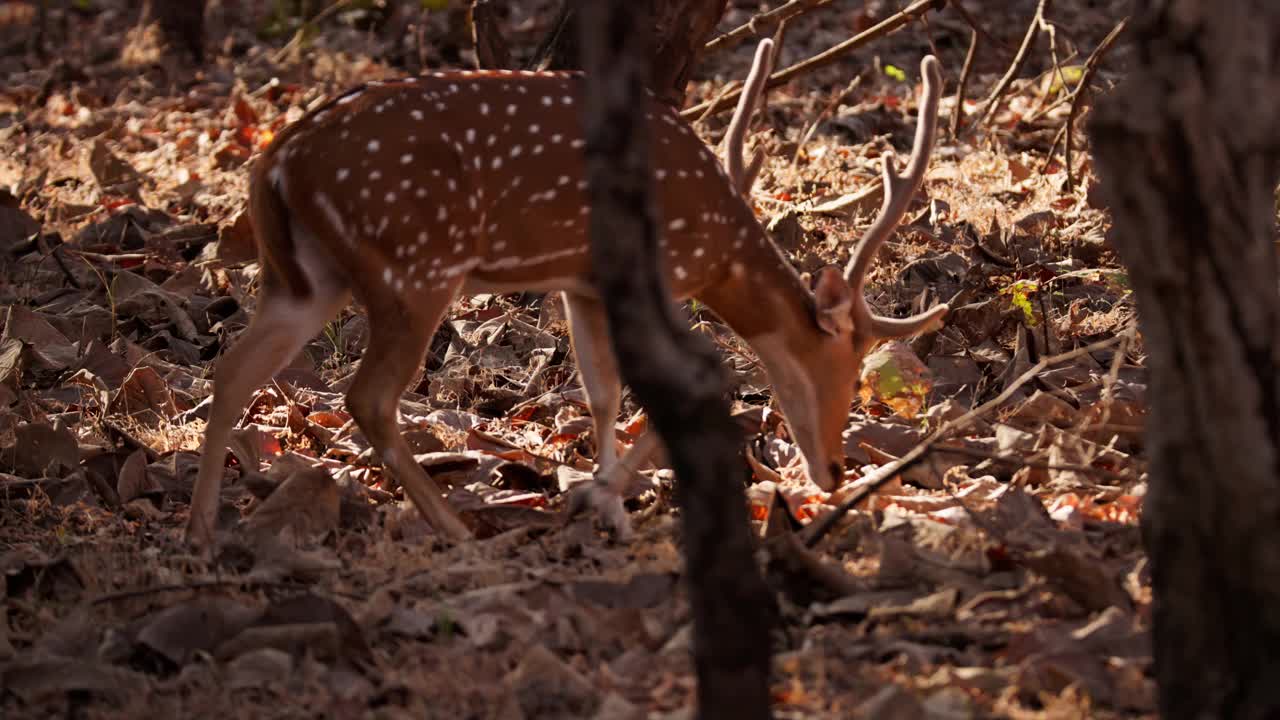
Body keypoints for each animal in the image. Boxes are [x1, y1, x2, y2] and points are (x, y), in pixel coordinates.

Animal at [189, 46, 952, 543]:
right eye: (844, 359)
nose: (835, 468)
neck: (718, 246)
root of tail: (276, 162)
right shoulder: (659, 272)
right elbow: (691, 380)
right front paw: (599, 496)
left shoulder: (581, 285)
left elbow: (600, 390)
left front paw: (606, 501)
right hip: (414, 264)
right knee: (368, 396)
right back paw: (459, 532)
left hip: (306, 277)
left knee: (233, 369)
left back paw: (199, 529)